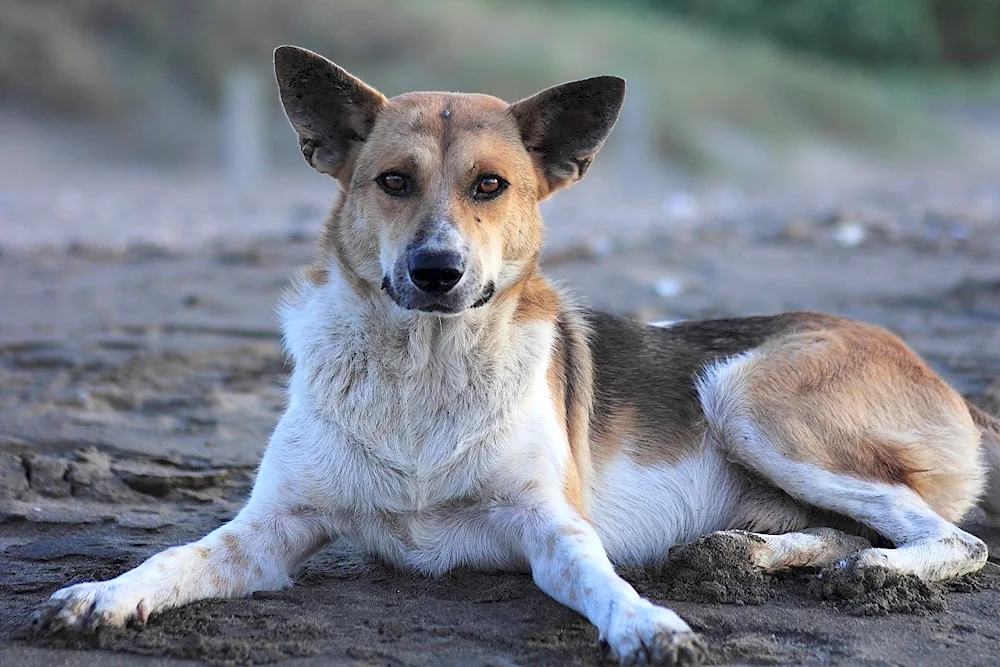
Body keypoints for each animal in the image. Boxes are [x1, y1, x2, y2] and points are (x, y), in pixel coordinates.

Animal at [29, 44, 1000, 664]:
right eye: (393, 182)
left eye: (490, 186)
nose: (437, 271)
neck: (424, 368)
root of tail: (950, 383)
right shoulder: (273, 529)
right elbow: (179, 557)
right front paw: (103, 593)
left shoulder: (550, 521)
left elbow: (597, 578)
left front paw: (647, 623)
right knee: (846, 526)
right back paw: (745, 554)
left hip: (747, 396)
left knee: (947, 534)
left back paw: (875, 572)